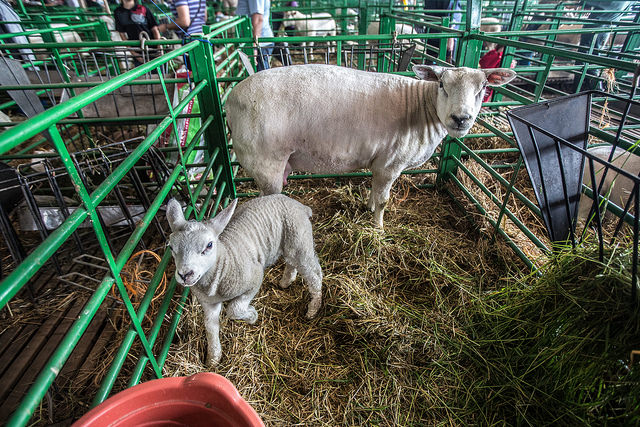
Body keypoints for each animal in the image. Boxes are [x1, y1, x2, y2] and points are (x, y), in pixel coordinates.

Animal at [166, 196, 322, 366]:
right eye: (171, 247)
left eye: (209, 245)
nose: (185, 274)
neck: (225, 261)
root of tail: (299, 204)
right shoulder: (208, 303)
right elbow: (210, 327)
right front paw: (213, 358)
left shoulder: (254, 278)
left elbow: (234, 309)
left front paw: (252, 315)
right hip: (289, 245)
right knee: (291, 262)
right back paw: (286, 281)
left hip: (299, 240)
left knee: (314, 273)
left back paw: (313, 309)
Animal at [228, 64, 516, 229]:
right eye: (442, 84)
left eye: (484, 87)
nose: (461, 118)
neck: (421, 107)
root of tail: (231, 98)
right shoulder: (391, 164)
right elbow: (385, 200)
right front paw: (378, 228)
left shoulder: (379, 163)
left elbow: (374, 192)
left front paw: (368, 208)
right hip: (266, 164)